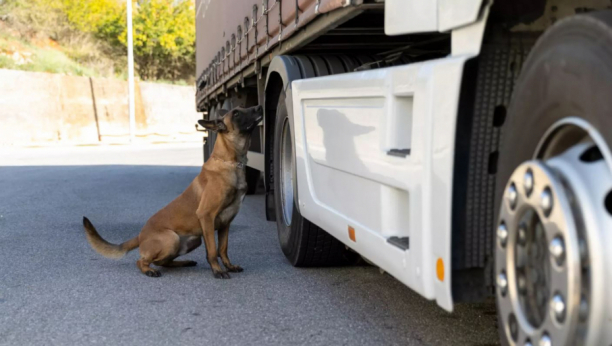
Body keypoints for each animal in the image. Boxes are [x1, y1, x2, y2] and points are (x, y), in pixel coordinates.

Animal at [82, 104, 262, 278]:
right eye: (236, 113)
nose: (259, 107)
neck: (230, 163)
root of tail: (140, 235)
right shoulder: (206, 216)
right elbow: (212, 251)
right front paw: (217, 271)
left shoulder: (226, 223)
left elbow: (223, 249)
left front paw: (229, 267)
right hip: (171, 238)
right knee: (142, 261)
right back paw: (149, 270)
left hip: (192, 241)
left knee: (164, 262)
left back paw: (184, 262)